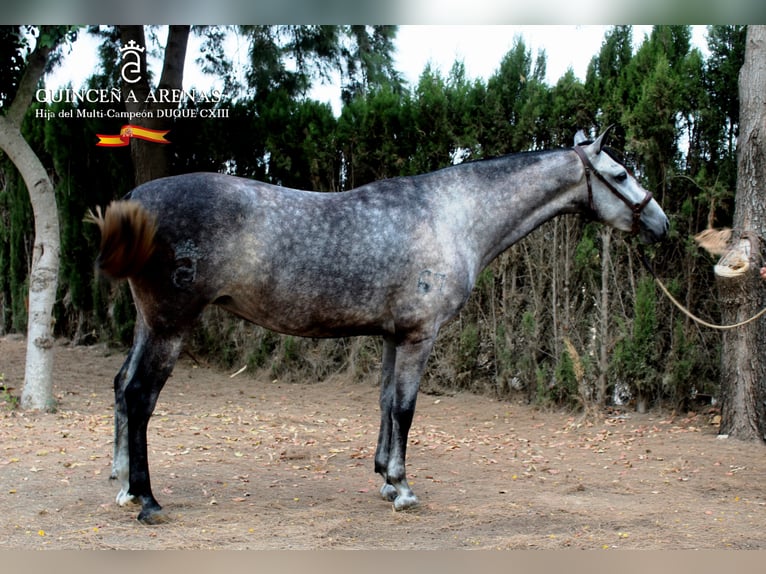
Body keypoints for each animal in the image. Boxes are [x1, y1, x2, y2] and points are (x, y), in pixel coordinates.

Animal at [88, 127, 664, 528]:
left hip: (148, 325)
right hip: (170, 326)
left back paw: (123, 485)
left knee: (120, 386)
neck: (452, 215)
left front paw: (385, 479)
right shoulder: (418, 336)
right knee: (139, 396)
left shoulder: (392, 336)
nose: (661, 222)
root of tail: (137, 200)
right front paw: (404, 489)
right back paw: (148, 501)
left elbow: (386, 404)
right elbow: (406, 410)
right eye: (620, 175)